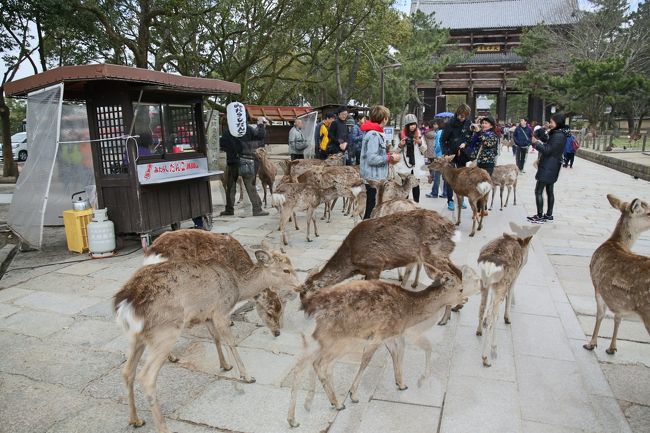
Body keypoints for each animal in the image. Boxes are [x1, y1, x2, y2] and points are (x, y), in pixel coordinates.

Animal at [114, 244, 299, 433]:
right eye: (286, 269)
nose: (300, 287)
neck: (237, 286)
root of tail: (126, 304)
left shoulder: (206, 314)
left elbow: (215, 337)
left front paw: (225, 365)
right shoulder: (221, 311)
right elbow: (231, 342)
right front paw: (246, 376)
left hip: (136, 336)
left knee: (127, 371)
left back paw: (135, 419)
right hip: (165, 331)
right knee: (146, 377)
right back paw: (164, 428)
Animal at [287, 262, 467, 428]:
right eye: (460, 288)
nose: (465, 299)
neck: (407, 313)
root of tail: (307, 309)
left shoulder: (390, 335)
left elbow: (395, 353)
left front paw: (401, 384)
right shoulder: (380, 333)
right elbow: (367, 360)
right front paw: (353, 394)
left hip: (313, 342)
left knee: (300, 367)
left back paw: (295, 418)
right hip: (336, 339)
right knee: (320, 364)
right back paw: (337, 404)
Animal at [300, 209, 459, 295]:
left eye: (304, 293)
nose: (304, 310)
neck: (352, 261)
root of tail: (452, 228)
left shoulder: (375, 264)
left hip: (433, 253)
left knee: (454, 275)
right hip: (443, 253)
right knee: (458, 271)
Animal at [475, 222, 540, 367]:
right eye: (529, 244)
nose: (526, 260)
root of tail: (489, 264)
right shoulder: (515, 276)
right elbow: (510, 296)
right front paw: (508, 318)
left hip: (484, 283)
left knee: (482, 307)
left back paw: (479, 331)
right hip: (502, 284)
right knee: (491, 316)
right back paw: (487, 356)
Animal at [583, 194, 650, 355]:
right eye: (649, 212)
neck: (615, 242)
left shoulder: (597, 286)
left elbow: (600, 314)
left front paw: (591, 343)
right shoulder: (612, 296)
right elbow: (617, 318)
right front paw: (611, 347)